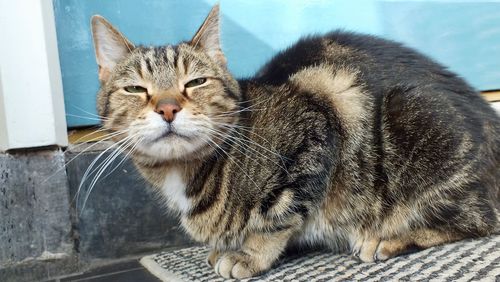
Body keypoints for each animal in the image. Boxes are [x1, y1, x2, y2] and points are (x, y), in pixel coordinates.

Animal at [90, 4, 500, 280]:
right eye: (135, 89)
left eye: (195, 82)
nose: (168, 107)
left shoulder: (316, 132)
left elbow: (277, 217)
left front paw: (248, 255)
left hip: (414, 116)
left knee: (478, 219)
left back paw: (387, 238)